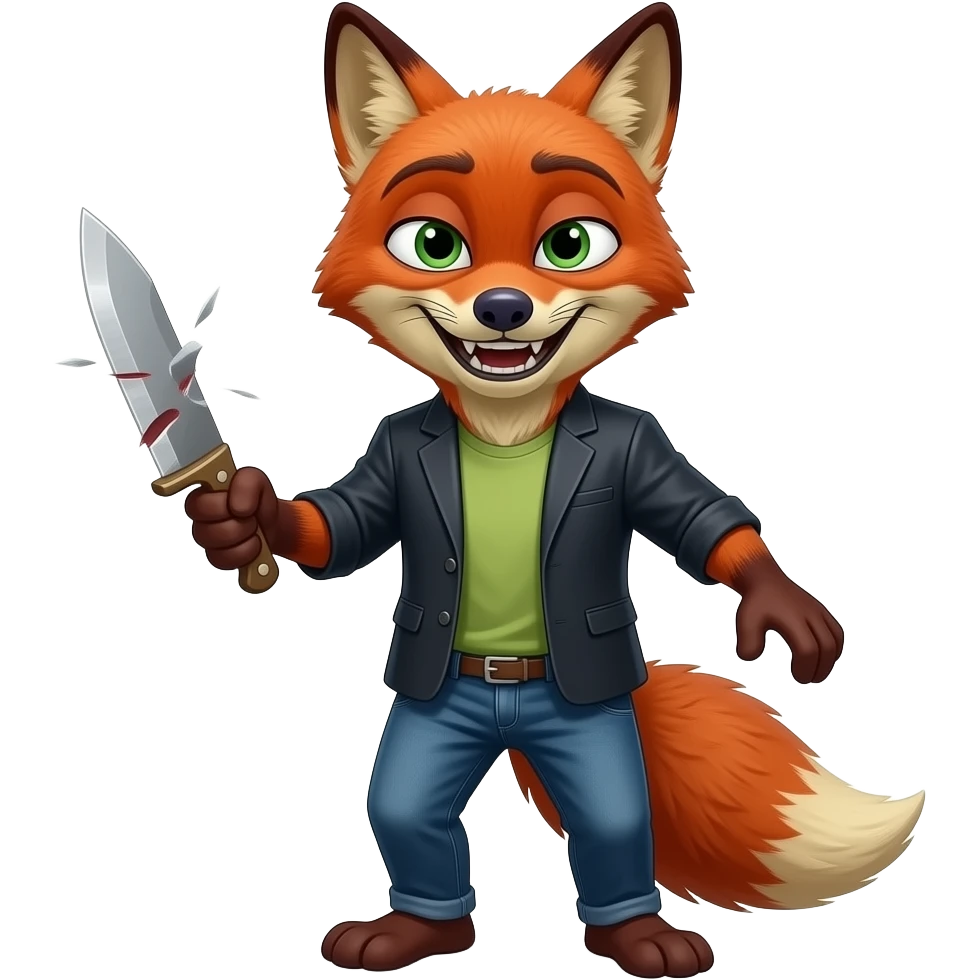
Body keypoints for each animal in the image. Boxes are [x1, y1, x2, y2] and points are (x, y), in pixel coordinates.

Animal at [185, 3, 925, 977]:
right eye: (434, 244)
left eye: (570, 244)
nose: (502, 309)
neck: (509, 425)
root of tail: (509, 706)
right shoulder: (393, 457)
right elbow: (345, 526)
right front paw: (242, 519)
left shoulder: (640, 451)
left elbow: (700, 519)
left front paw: (779, 601)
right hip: (438, 719)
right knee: (407, 812)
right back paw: (419, 929)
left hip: (593, 725)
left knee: (612, 820)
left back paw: (640, 936)